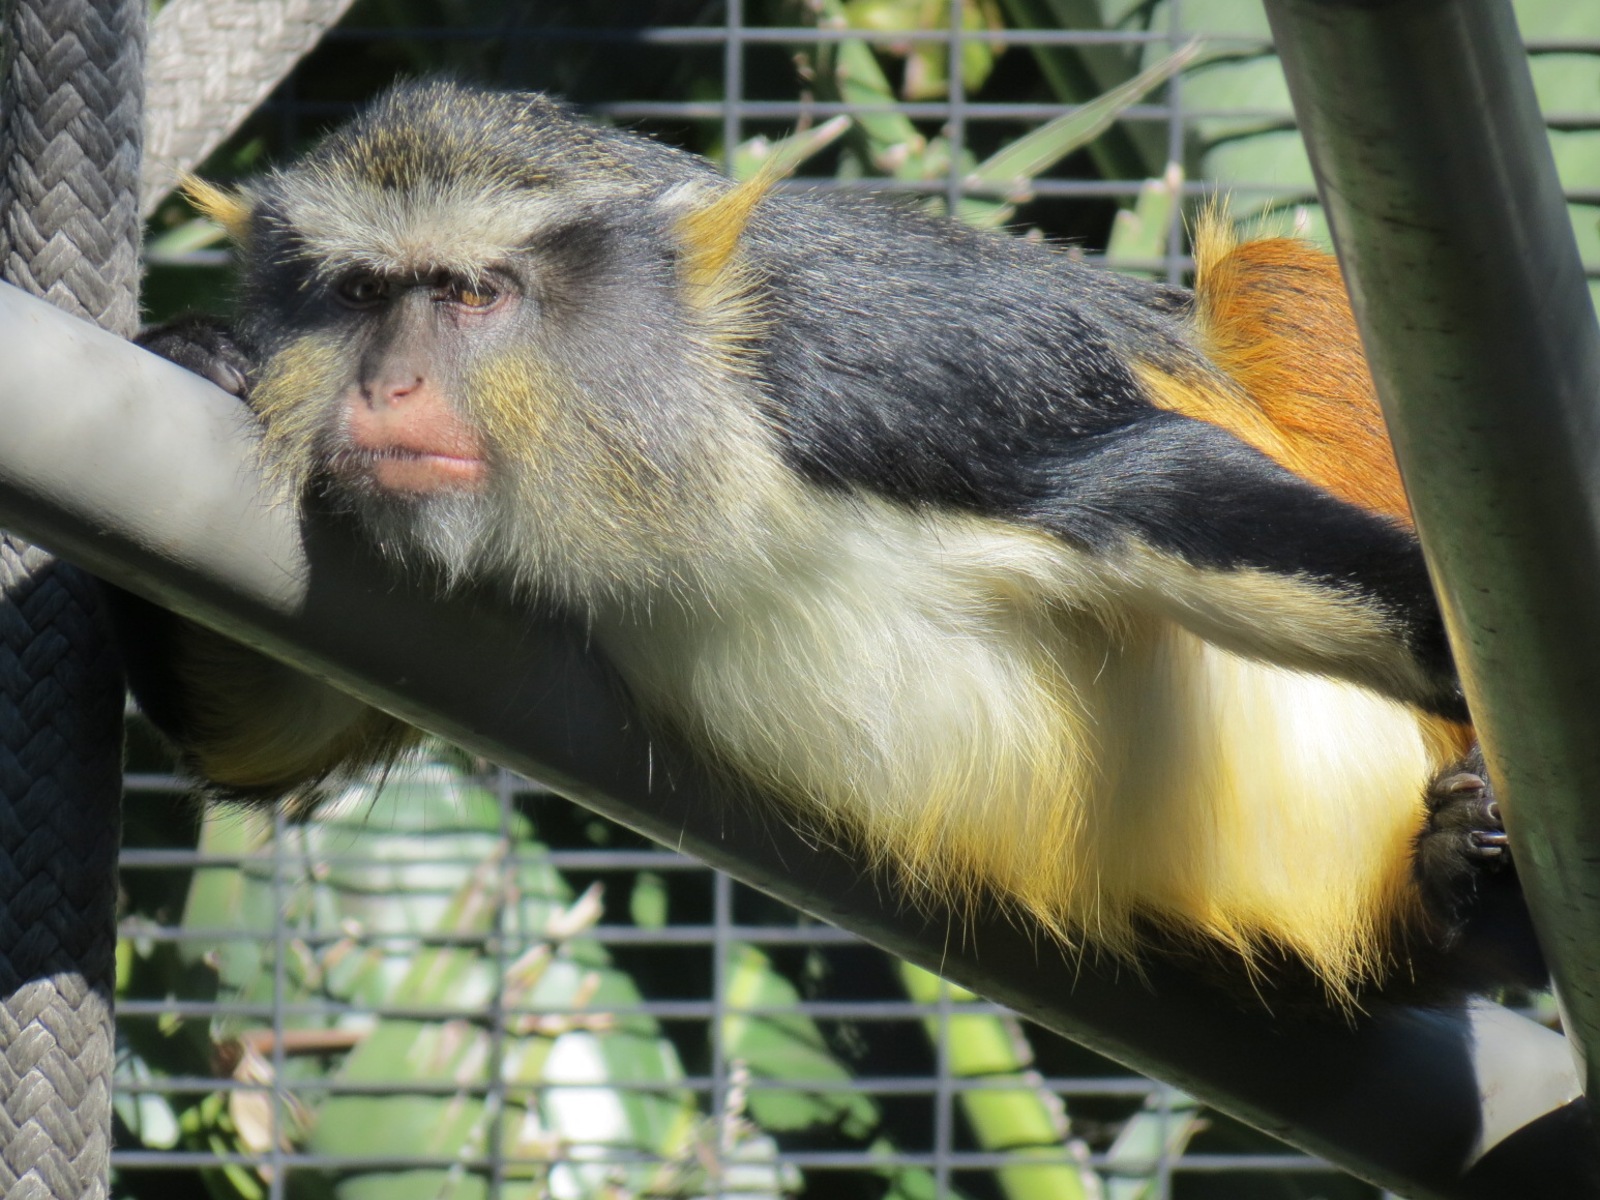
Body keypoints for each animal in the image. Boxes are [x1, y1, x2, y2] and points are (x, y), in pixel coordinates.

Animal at [122, 79, 1543, 1010]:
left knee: (1271, 281)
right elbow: (269, 737)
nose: (387, 389)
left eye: (471, 293)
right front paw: (196, 349)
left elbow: (1129, 481)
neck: (679, 412)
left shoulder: (877, 371)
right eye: (360, 295)